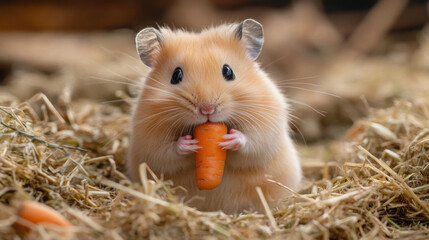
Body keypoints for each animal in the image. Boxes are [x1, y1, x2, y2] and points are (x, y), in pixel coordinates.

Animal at [127, 19, 300, 214]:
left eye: (228, 71)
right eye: (176, 75)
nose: (207, 109)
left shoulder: (268, 119)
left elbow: (253, 142)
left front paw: (229, 139)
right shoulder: (147, 134)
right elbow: (166, 152)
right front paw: (189, 143)